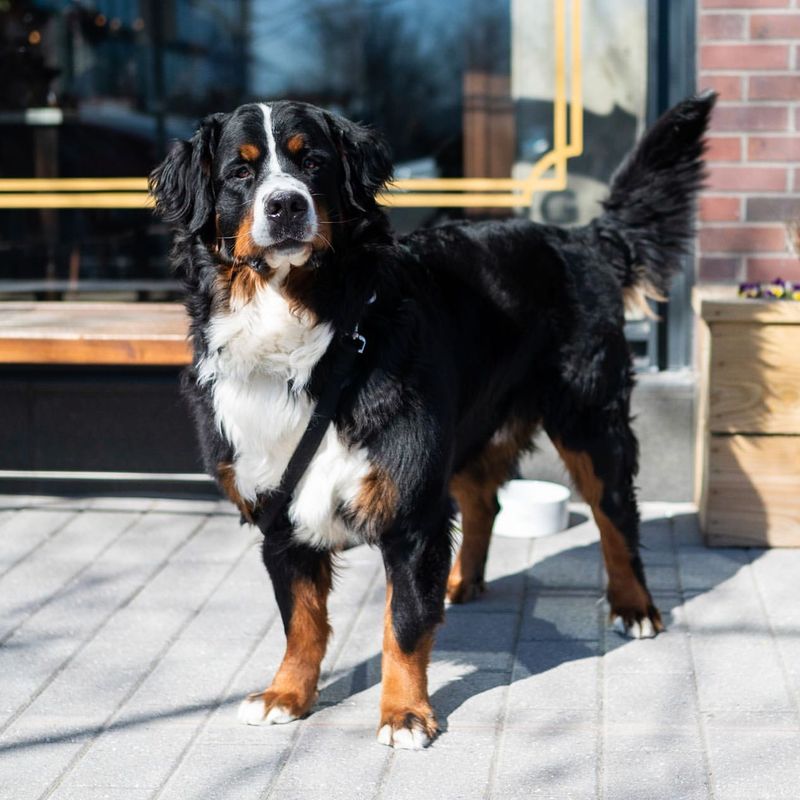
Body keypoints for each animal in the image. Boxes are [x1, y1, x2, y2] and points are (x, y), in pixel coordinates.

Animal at [148, 94, 712, 752]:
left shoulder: (411, 507)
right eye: (239, 172)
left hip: (588, 419)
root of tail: (581, 239)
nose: (285, 204)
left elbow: (404, 625)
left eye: (311, 162)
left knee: (614, 512)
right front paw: (287, 694)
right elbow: (302, 620)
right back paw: (461, 583)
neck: (306, 335)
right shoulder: (279, 510)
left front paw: (405, 712)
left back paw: (633, 605)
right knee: (484, 501)